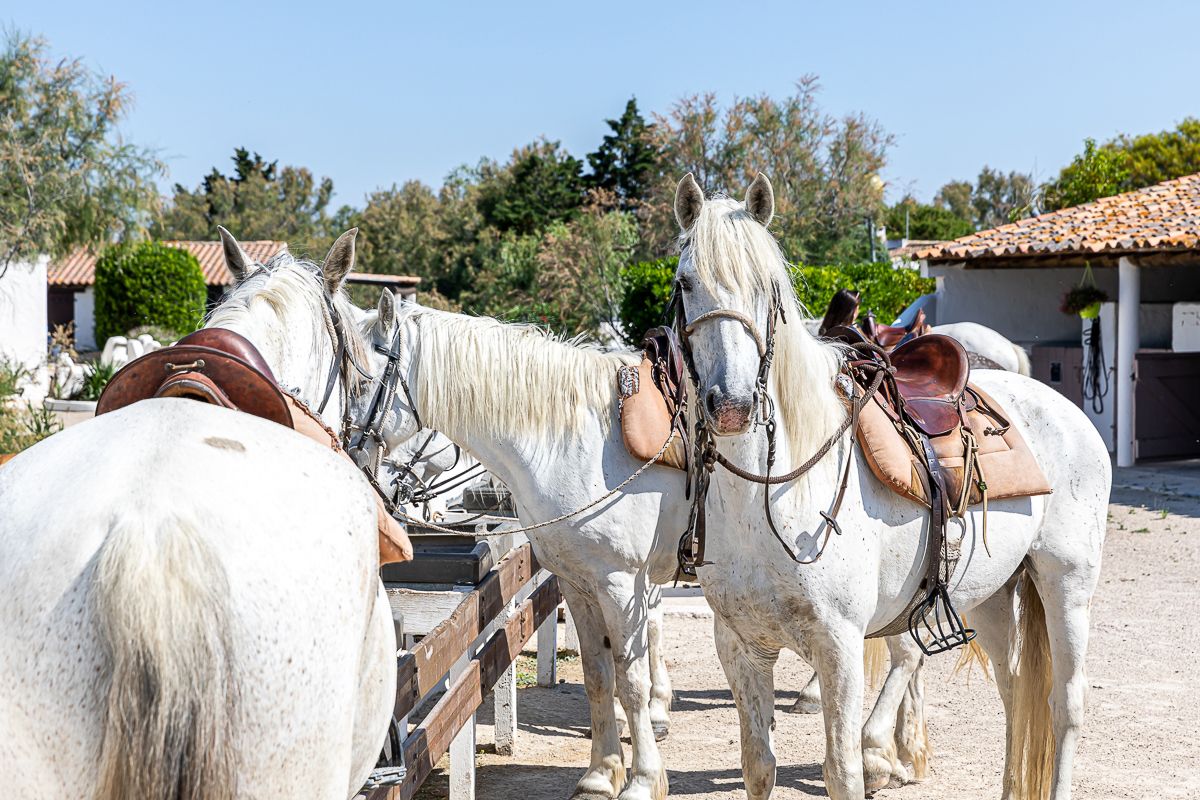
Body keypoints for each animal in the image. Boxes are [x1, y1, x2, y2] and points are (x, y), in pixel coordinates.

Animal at [348, 290, 684, 800]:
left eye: (360, 382)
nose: (359, 467)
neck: (577, 447)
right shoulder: (579, 582)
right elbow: (599, 674)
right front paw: (601, 774)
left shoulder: (622, 580)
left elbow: (632, 675)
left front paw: (644, 775)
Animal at [670, 173, 1110, 800]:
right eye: (686, 282)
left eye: (767, 286)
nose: (731, 405)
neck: (771, 499)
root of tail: (1066, 410)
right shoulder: (740, 648)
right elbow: (758, 766)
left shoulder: (839, 648)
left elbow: (843, 768)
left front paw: (876, 757)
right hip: (994, 596)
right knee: (1015, 696)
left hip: (1066, 584)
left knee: (1063, 705)